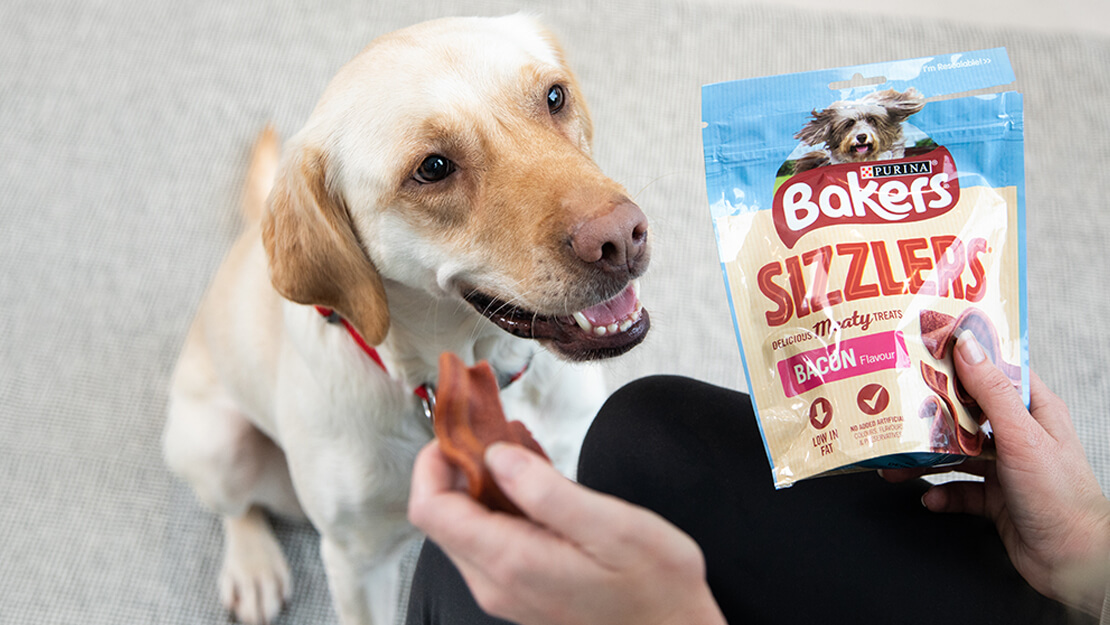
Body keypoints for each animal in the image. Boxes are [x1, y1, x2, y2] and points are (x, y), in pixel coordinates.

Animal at [164, 14, 648, 625]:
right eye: (433, 168)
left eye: (554, 97)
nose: (622, 238)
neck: (469, 373)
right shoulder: (357, 562)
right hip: (217, 444)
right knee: (238, 510)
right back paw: (252, 566)